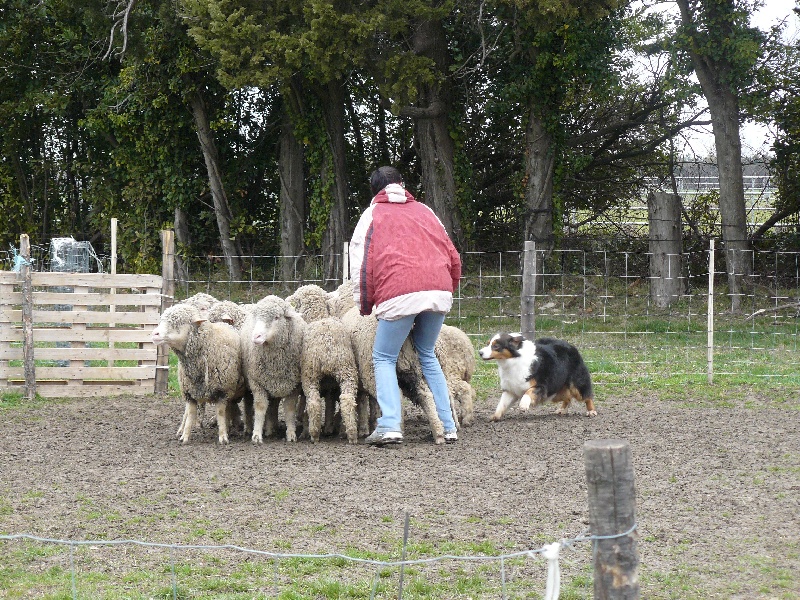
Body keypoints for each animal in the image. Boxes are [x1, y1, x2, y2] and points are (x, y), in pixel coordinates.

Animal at [151, 303, 247, 444]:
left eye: (178, 322)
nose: (154, 333)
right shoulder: (190, 392)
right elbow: (191, 414)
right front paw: (185, 436)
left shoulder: (223, 391)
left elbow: (221, 413)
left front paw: (223, 436)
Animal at [240, 295, 305, 443]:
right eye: (257, 316)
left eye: (276, 317)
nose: (256, 336)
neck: (275, 362)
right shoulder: (256, 382)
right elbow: (260, 406)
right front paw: (256, 435)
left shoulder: (294, 385)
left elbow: (289, 408)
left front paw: (291, 433)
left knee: (274, 405)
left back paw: (271, 428)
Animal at [286, 284, 360, 444]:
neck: (319, 316)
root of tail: (328, 347)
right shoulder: (331, 386)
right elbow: (331, 404)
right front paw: (329, 427)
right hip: (347, 371)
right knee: (347, 399)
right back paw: (351, 434)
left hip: (310, 375)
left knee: (314, 403)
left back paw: (314, 434)